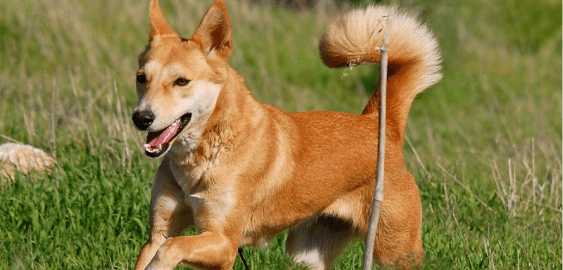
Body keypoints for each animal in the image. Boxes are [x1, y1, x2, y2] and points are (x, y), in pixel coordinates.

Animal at [131, 1, 440, 268]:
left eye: (182, 81)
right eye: (141, 78)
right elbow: (159, 248)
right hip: (307, 253)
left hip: (394, 252)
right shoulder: (158, 233)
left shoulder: (224, 243)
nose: (141, 118)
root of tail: (379, 124)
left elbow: (171, 248)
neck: (200, 162)